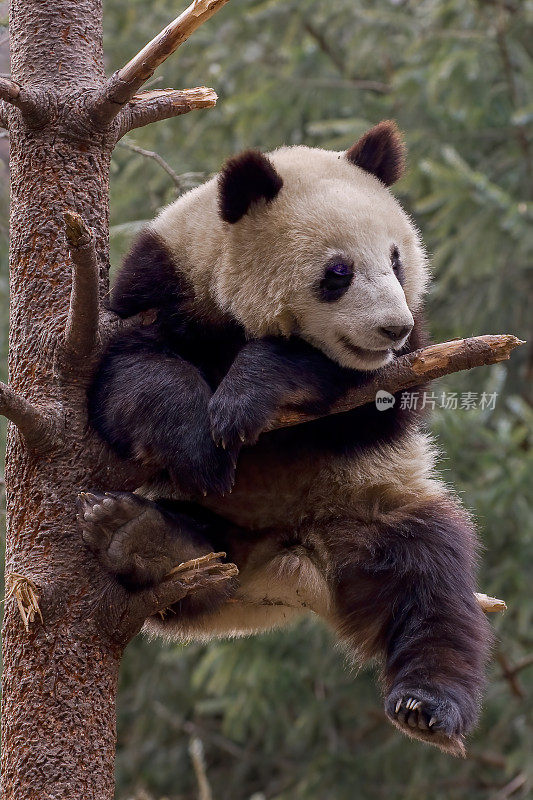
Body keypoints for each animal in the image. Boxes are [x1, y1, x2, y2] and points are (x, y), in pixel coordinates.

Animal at [80, 120, 490, 756]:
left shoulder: (401, 367)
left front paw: (245, 397)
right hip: (226, 536)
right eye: (338, 272)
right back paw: (145, 538)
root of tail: (292, 571)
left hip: (370, 502)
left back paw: (428, 705)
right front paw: (201, 442)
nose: (391, 328)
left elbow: (360, 392)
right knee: (195, 551)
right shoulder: (161, 287)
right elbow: (129, 376)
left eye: (397, 262)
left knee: (431, 580)